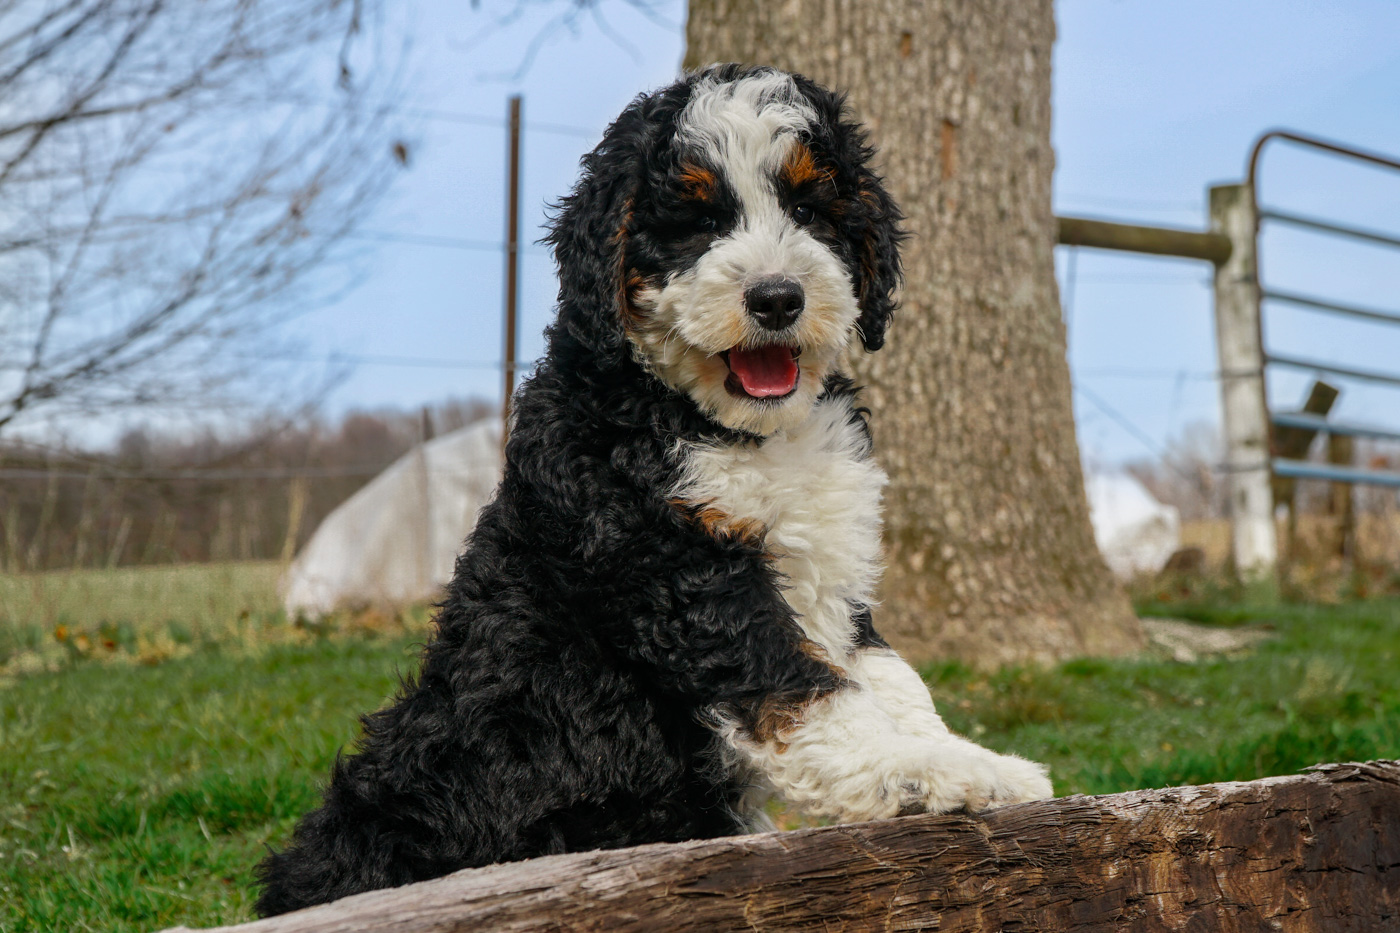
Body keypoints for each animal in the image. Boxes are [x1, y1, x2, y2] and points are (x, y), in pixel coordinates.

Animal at [252, 65, 1052, 913]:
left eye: (809, 209)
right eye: (697, 222)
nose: (777, 298)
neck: (726, 427)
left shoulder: (828, 575)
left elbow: (892, 679)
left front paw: (972, 760)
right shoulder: (682, 570)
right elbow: (812, 692)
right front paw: (938, 773)